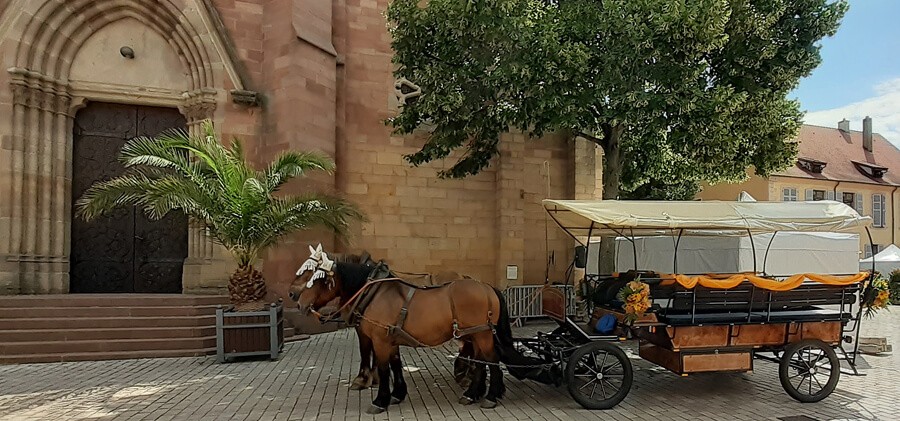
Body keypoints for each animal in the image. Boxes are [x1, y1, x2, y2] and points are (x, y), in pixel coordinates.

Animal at [288, 248, 532, 412]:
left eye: (314, 278)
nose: (296, 299)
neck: (372, 292)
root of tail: (485, 286)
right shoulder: (390, 338)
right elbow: (396, 365)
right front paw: (397, 393)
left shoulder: (379, 339)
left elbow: (383, 367)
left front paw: (380, 398)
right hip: (475, 332)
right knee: (481, 360)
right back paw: (472, 393)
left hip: (481, 333)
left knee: (491, 359)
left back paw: (489, 395)